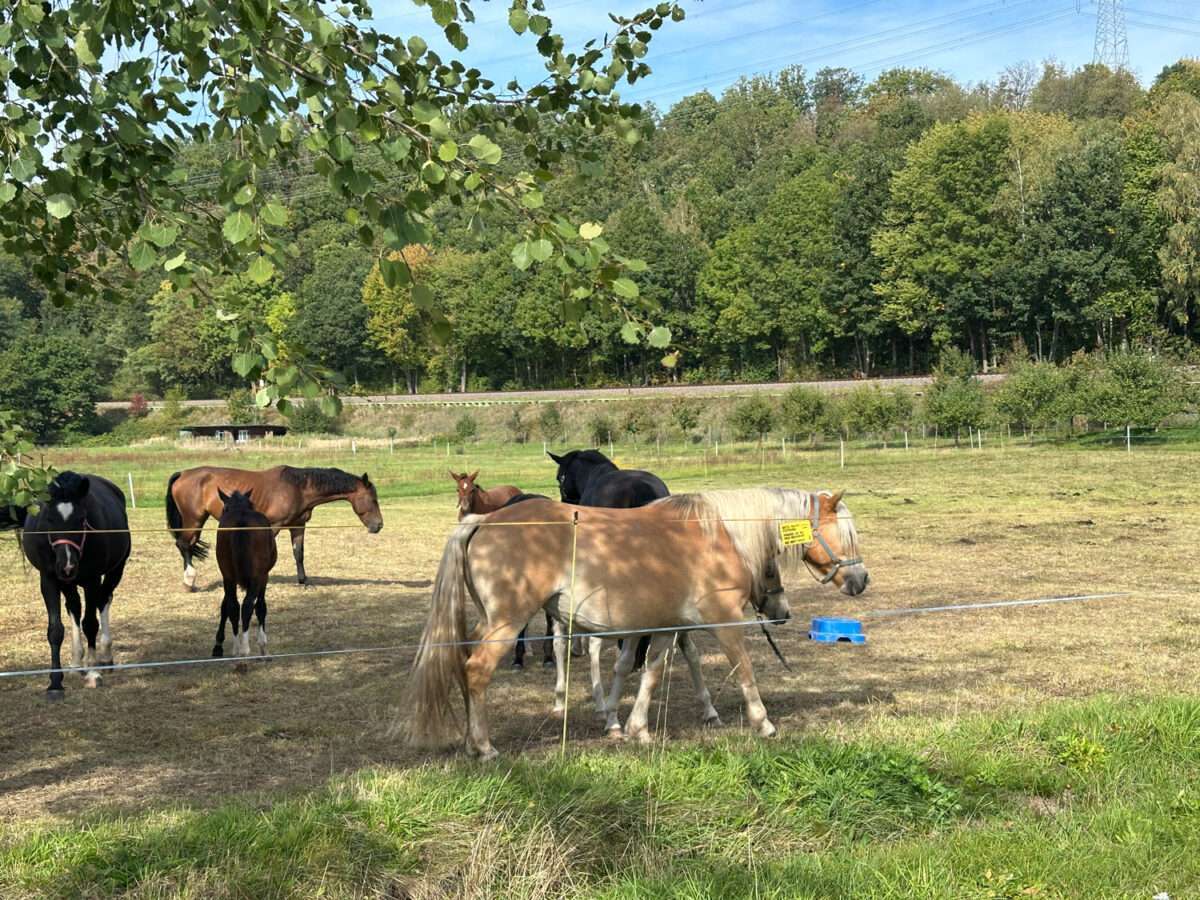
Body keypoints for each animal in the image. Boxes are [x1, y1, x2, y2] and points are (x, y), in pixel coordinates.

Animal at [1, 473, 131, 697]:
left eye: (81, 519)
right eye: (49, 519)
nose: (67, 565)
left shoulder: (91, 580)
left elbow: (90, 624)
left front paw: (93, 672)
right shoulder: (49, 580)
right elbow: (55, 630)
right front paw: (55, 682)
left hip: (115, 571)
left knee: (104, 600)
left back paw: (104, 657)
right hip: (68, 584)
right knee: (74, 607)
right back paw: (77, 661)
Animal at [166, 466, 382, 590]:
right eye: (373, 499)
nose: (378, 525)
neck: (298, 488)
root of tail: (182, 474)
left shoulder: (298, 526)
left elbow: (299, 554)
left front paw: (304, 581)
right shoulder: (274, 525)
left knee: (187, 545)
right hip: (193, 519)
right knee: (184, 544)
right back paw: (189, 580)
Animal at [213, 489, 278, 659]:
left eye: (224, 509)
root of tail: (240, 521)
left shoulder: (228, 577)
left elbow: (225, 605)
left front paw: (218, 645)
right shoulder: (264, 576)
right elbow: (261, 606)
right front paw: (262, 645)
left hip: (228, 575)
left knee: (233, 606)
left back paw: (236, 648)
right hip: (257, 577)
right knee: (248, 604)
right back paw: (244, 648)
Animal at [405, 488, 867, 759]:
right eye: (845, 534)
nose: (861, 580)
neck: (719, 534)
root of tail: (481, 520)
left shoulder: (665, 628)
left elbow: (650, 675)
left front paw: (637, 729)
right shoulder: (725, 622)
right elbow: (744, 671)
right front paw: (763, 723)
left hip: (490, 622)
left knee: (463, 665)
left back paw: (471, 742)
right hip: (507, 623)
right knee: (477, 672)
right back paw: (484, 747)